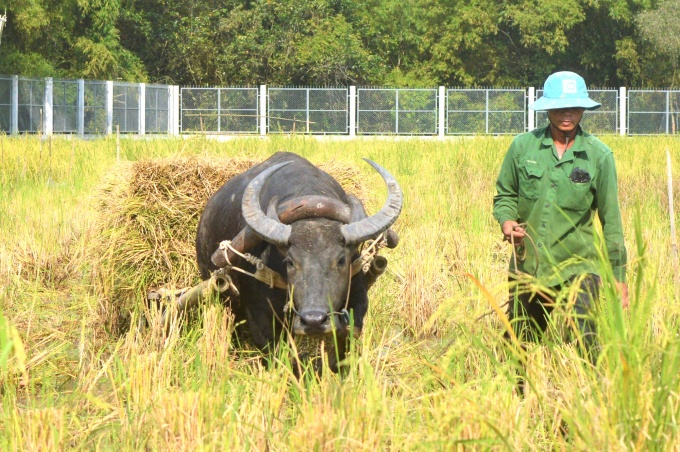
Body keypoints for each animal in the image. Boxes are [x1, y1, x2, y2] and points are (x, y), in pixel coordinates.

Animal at [194, 153, 402, 370]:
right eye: (291, 262)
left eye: (341, 260)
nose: (313, 321)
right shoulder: (259, 316)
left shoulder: (358, 298)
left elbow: (346, 340)